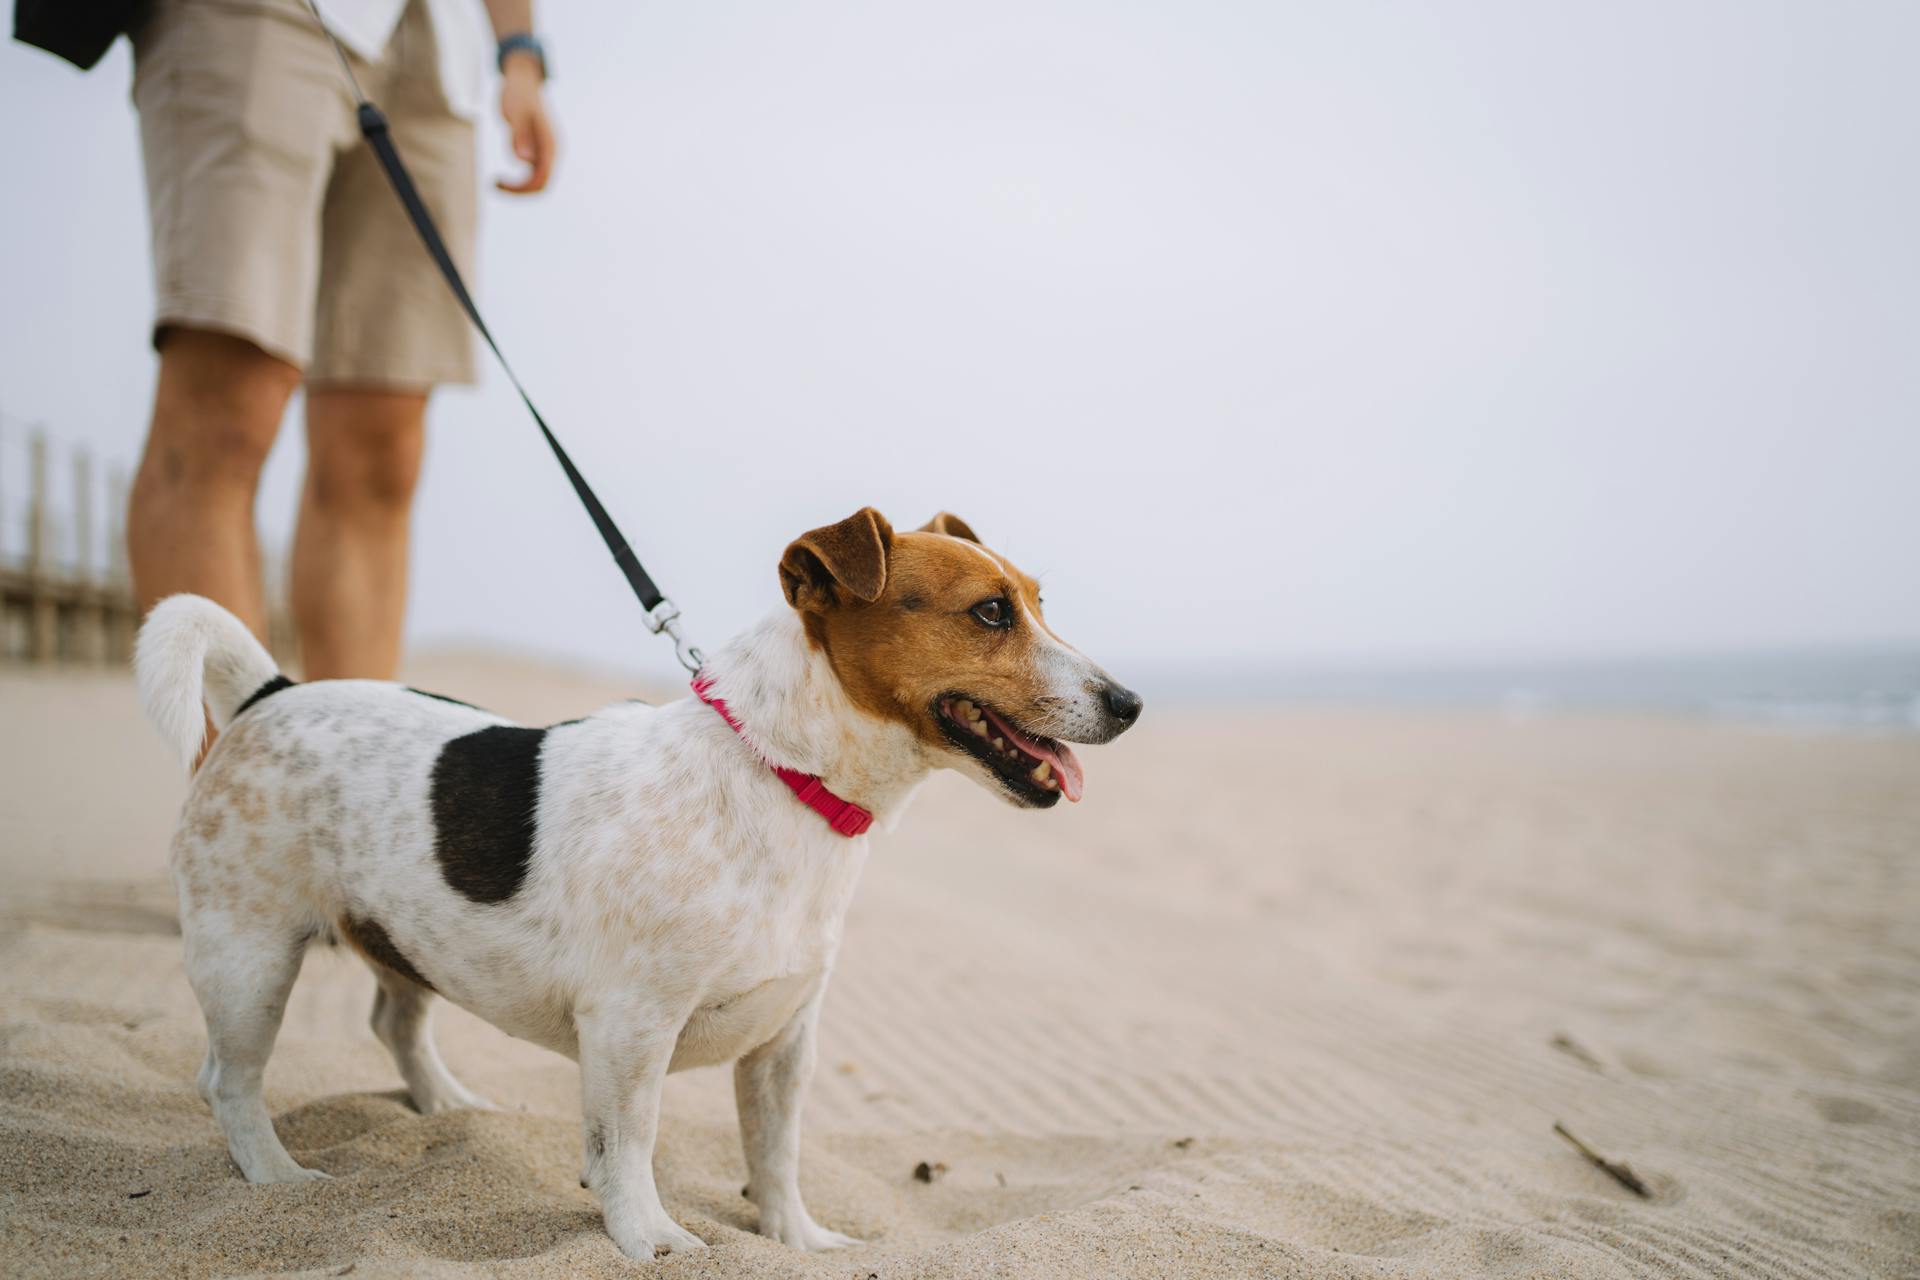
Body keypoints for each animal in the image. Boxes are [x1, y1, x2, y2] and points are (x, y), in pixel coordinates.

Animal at [135, 506, 1136, 1258]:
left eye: (1038, 602)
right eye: (991, 613)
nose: (1128, 703)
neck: (778, 775)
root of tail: (270, 692)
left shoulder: (786, 1040)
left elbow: (776, 1152)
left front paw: (797, 1240)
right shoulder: (630, 1026)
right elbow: (630, 1143)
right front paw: (650, 1238)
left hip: (403, 935)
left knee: (395, 1020)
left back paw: (447, 1109)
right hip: (251, 959)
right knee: (229, 1078)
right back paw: (276, 1181)